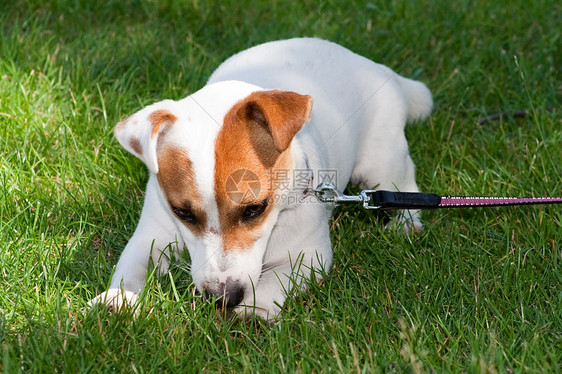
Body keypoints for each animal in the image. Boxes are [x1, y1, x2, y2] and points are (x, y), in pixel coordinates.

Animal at [89, 37, 430, 318]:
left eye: (255, 208)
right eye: (182, 212)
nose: (223, 298)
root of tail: (375, 66)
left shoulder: (310, 255)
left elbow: (276, 280)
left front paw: (253, 310)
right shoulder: (153, 233)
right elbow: (133, 262)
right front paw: (118, 298)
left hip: (382, 162)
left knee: (404, 182)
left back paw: (405, 223)